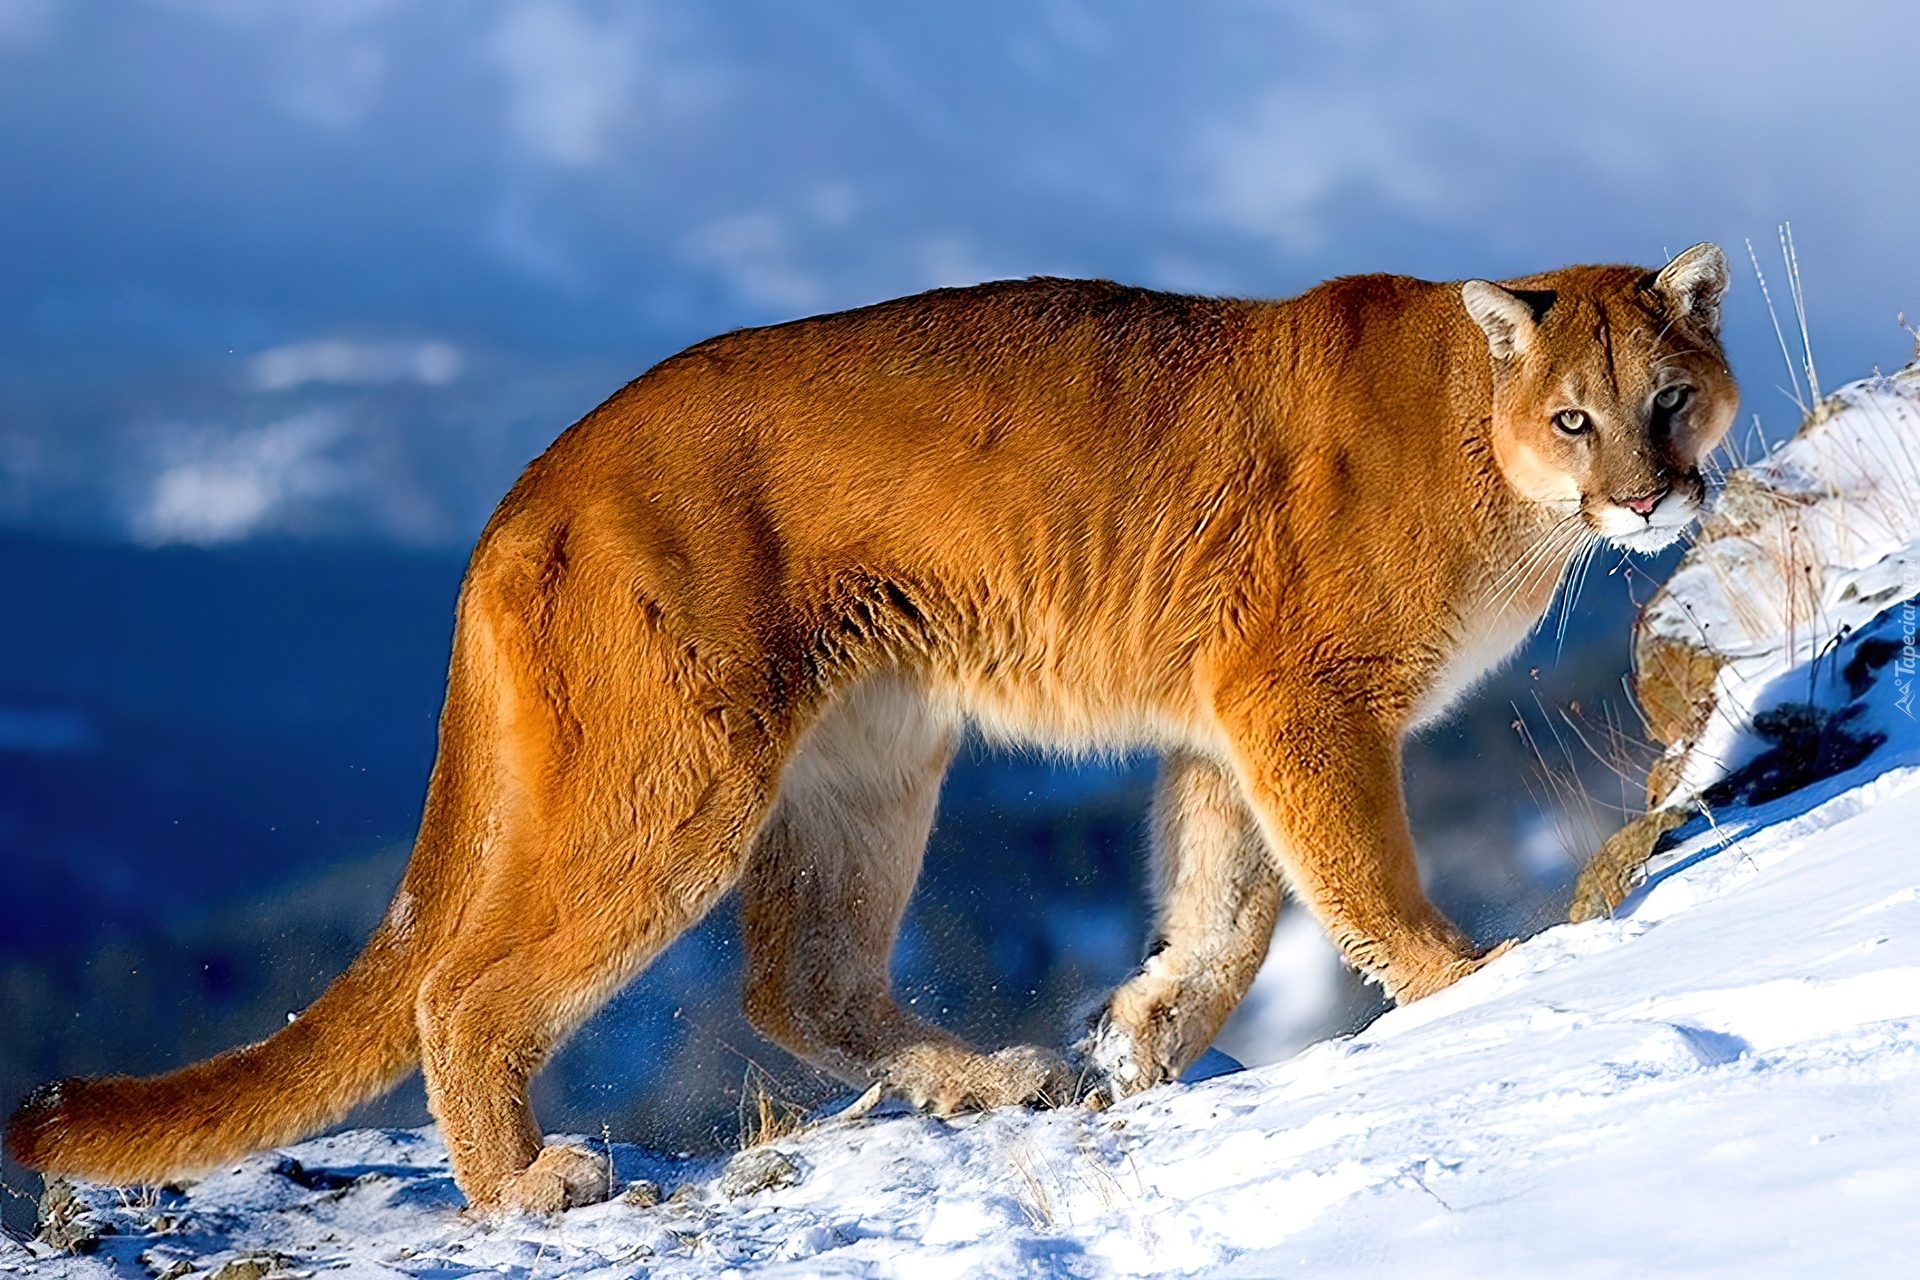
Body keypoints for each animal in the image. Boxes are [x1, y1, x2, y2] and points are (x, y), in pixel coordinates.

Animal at [3, 239, 1743, 1212]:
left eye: (1671, 399)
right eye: (1577, 416)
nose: (1653, 495)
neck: (1487, 458)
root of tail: (528, 485)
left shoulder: (1226, 716)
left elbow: (1230, 904)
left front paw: (1143, 1033)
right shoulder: (1300, 697)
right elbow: (1357, 880)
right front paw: (1481, 978)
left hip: (872, 759)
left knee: (801, 977)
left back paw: (994, 1082)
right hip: (682, 776)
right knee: (467, 987)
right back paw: (526, 1187)